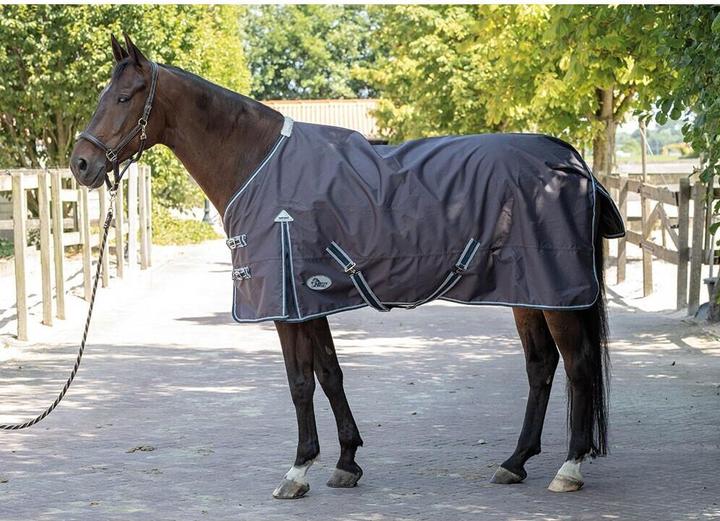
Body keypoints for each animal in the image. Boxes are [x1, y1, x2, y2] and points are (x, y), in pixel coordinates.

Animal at [70, 35, 621, 499]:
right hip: (528, 293)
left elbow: (299, 382)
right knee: (541, 367)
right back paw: (515, 461)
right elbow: (330, 374)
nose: (80, 164)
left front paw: (297, 471)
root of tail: (571, 160)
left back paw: (569, 468)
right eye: (102, 94)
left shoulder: (286, 303)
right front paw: (346, 462)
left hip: (559, 294)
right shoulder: (310, 299)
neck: (259, 163)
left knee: (577, 366)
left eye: (125, 97)